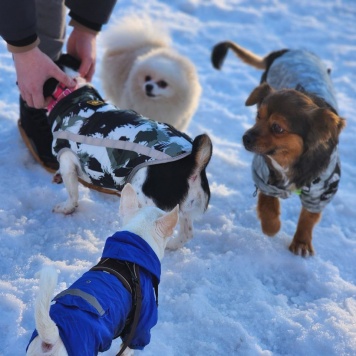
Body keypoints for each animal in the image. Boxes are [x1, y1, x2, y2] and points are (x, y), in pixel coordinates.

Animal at [44, 55, 211, 250]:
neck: (72, 95)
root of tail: (192, 160)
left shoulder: (67, 161)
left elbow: (72, 194)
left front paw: (65, 208)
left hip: (150, 203)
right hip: (185, 209)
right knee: (187, 233)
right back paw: (171, 246)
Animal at [211, 41, 344, 256]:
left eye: (277, 128)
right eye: (258, 115)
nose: (245, 138)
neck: (289, 162)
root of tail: (286, 51)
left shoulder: (323, 191)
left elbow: (308, 218)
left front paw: (301, 242)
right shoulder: (264, 176)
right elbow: (268, 204)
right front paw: (271, 227)